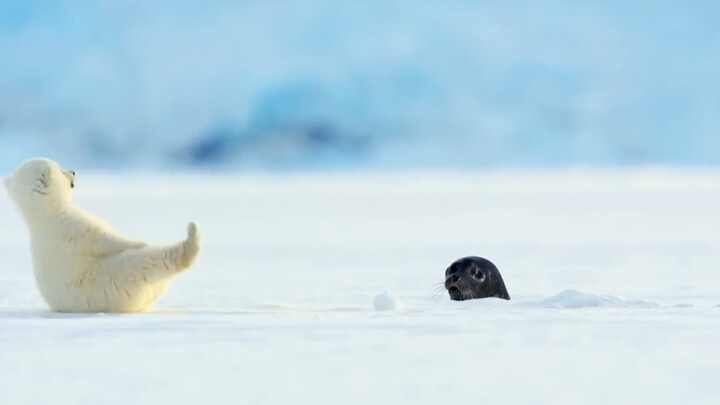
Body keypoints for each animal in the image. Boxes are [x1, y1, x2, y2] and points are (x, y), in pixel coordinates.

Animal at [3, 157, 201, 313]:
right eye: (60, 168)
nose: (73, 171)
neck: (44, 214)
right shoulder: (74, 228)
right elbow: (105, 239)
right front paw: (140, 242)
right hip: (113, 280)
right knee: (145, 263)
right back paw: (191, 235)